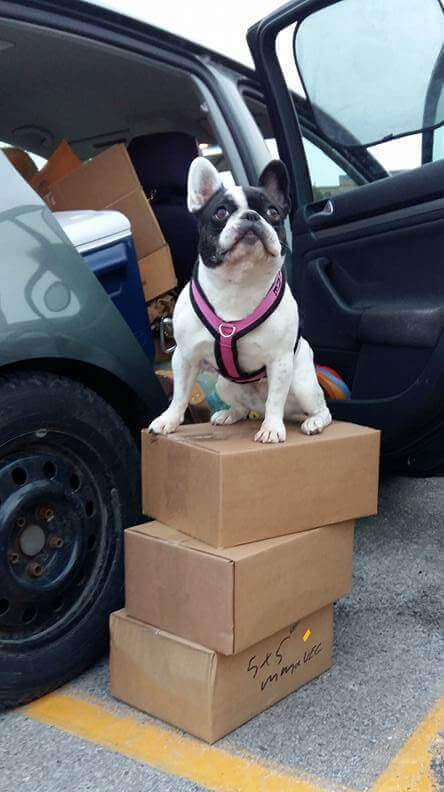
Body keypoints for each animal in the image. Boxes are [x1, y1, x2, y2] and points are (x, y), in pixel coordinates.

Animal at [151, 158, 332, 442]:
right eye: (221, 212)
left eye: (273, 212)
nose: (251, 216)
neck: (239, 282)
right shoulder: (185, 356)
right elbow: (180, 394)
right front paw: (169, 420)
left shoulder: (280, 360)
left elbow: (275, 399)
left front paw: (271, 428)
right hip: (223, 383)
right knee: (241, 408)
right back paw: (228, 415)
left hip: (302, 383)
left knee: (321, 409)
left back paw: (313, 422)